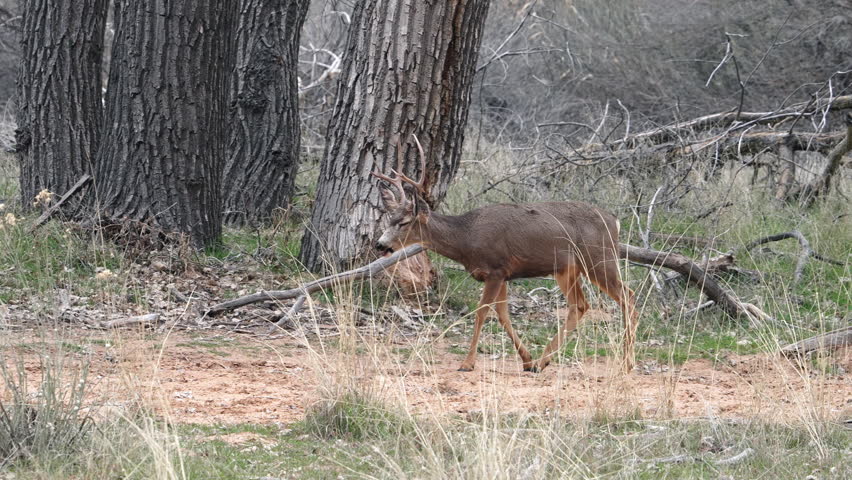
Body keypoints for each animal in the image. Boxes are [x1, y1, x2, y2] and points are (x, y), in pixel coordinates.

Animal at [373, 136, 638, 373]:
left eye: (404, 222)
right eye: (390, 219)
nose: (380, 244)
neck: (466, 238)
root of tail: (614, 221)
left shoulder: (496, 269)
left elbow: (482, 312)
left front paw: (467, 363)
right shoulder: (504, 274)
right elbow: (503, 316)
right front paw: (527, 360)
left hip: (599, 258)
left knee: (628, 297)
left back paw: (627, 364)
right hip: (567, 269)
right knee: (581, 305)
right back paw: (543, 362)